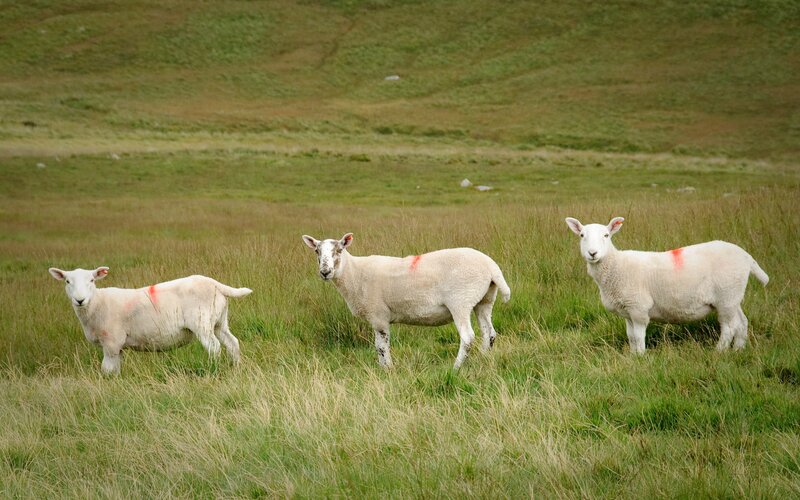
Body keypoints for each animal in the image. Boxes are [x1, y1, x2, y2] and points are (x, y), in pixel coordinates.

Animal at [48, 267, 252, 374]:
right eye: (67, 281)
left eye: (91, 280)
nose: (79, 300)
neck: (97, 303)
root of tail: (214, 283)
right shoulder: (117, 347)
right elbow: (115, 368)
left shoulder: (112, 342)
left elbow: (107, 368)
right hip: (219, 321)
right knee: (232, 343)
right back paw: (236, 367)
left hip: (202, 322)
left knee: (214, 347)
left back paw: (213, 369)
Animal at [301, 233, 511, 369]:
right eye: (317, 251)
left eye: (339, 250)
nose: (325, 272)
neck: (354, 273)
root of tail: (491, 266)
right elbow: (380, 346)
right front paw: (384, 368)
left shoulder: (378, 315)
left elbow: (381, 346)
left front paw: (387, 369)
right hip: (484, 300)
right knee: (489, 333)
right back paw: (483, 359)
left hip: (461, 301)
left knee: (468, 337)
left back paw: (456, 367)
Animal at [564, 217, 769, 353]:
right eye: (582, 235)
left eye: (606, 235)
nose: (592, 253)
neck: (616, 266)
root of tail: (746, 256)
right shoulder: (627, 311)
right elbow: (631, 336)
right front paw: (632, 355)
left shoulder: (639, 308)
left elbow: (638, 336)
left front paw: (640, 357)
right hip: (733, 296)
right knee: (742, 322)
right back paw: (738, 350)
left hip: (726, 296)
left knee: (729, 327)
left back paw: (719, 351)